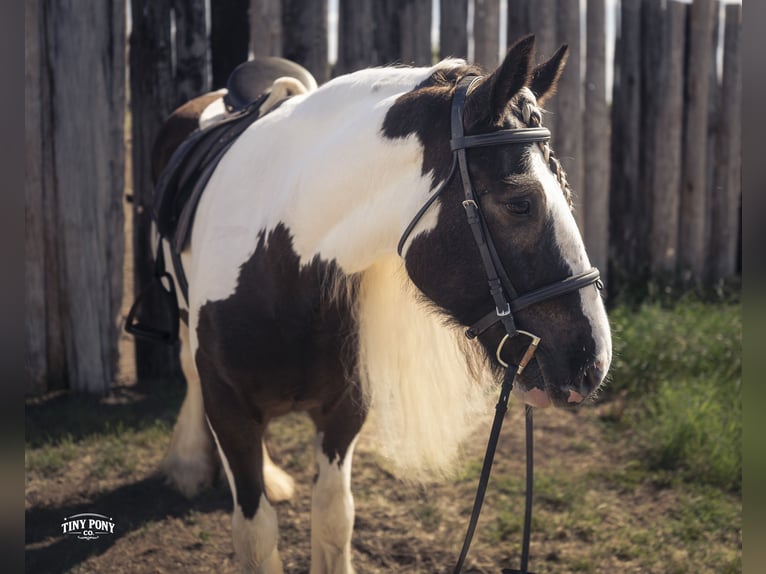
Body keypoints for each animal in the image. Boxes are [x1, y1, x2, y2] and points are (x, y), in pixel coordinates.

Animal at [148, 36, 612, 574]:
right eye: (521, 203)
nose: (594, 362)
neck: (279, 268)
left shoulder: (345, 410)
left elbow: (333, 518)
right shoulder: (230, 411)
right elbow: (257, 535)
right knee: (187, 367)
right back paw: (187, 463)